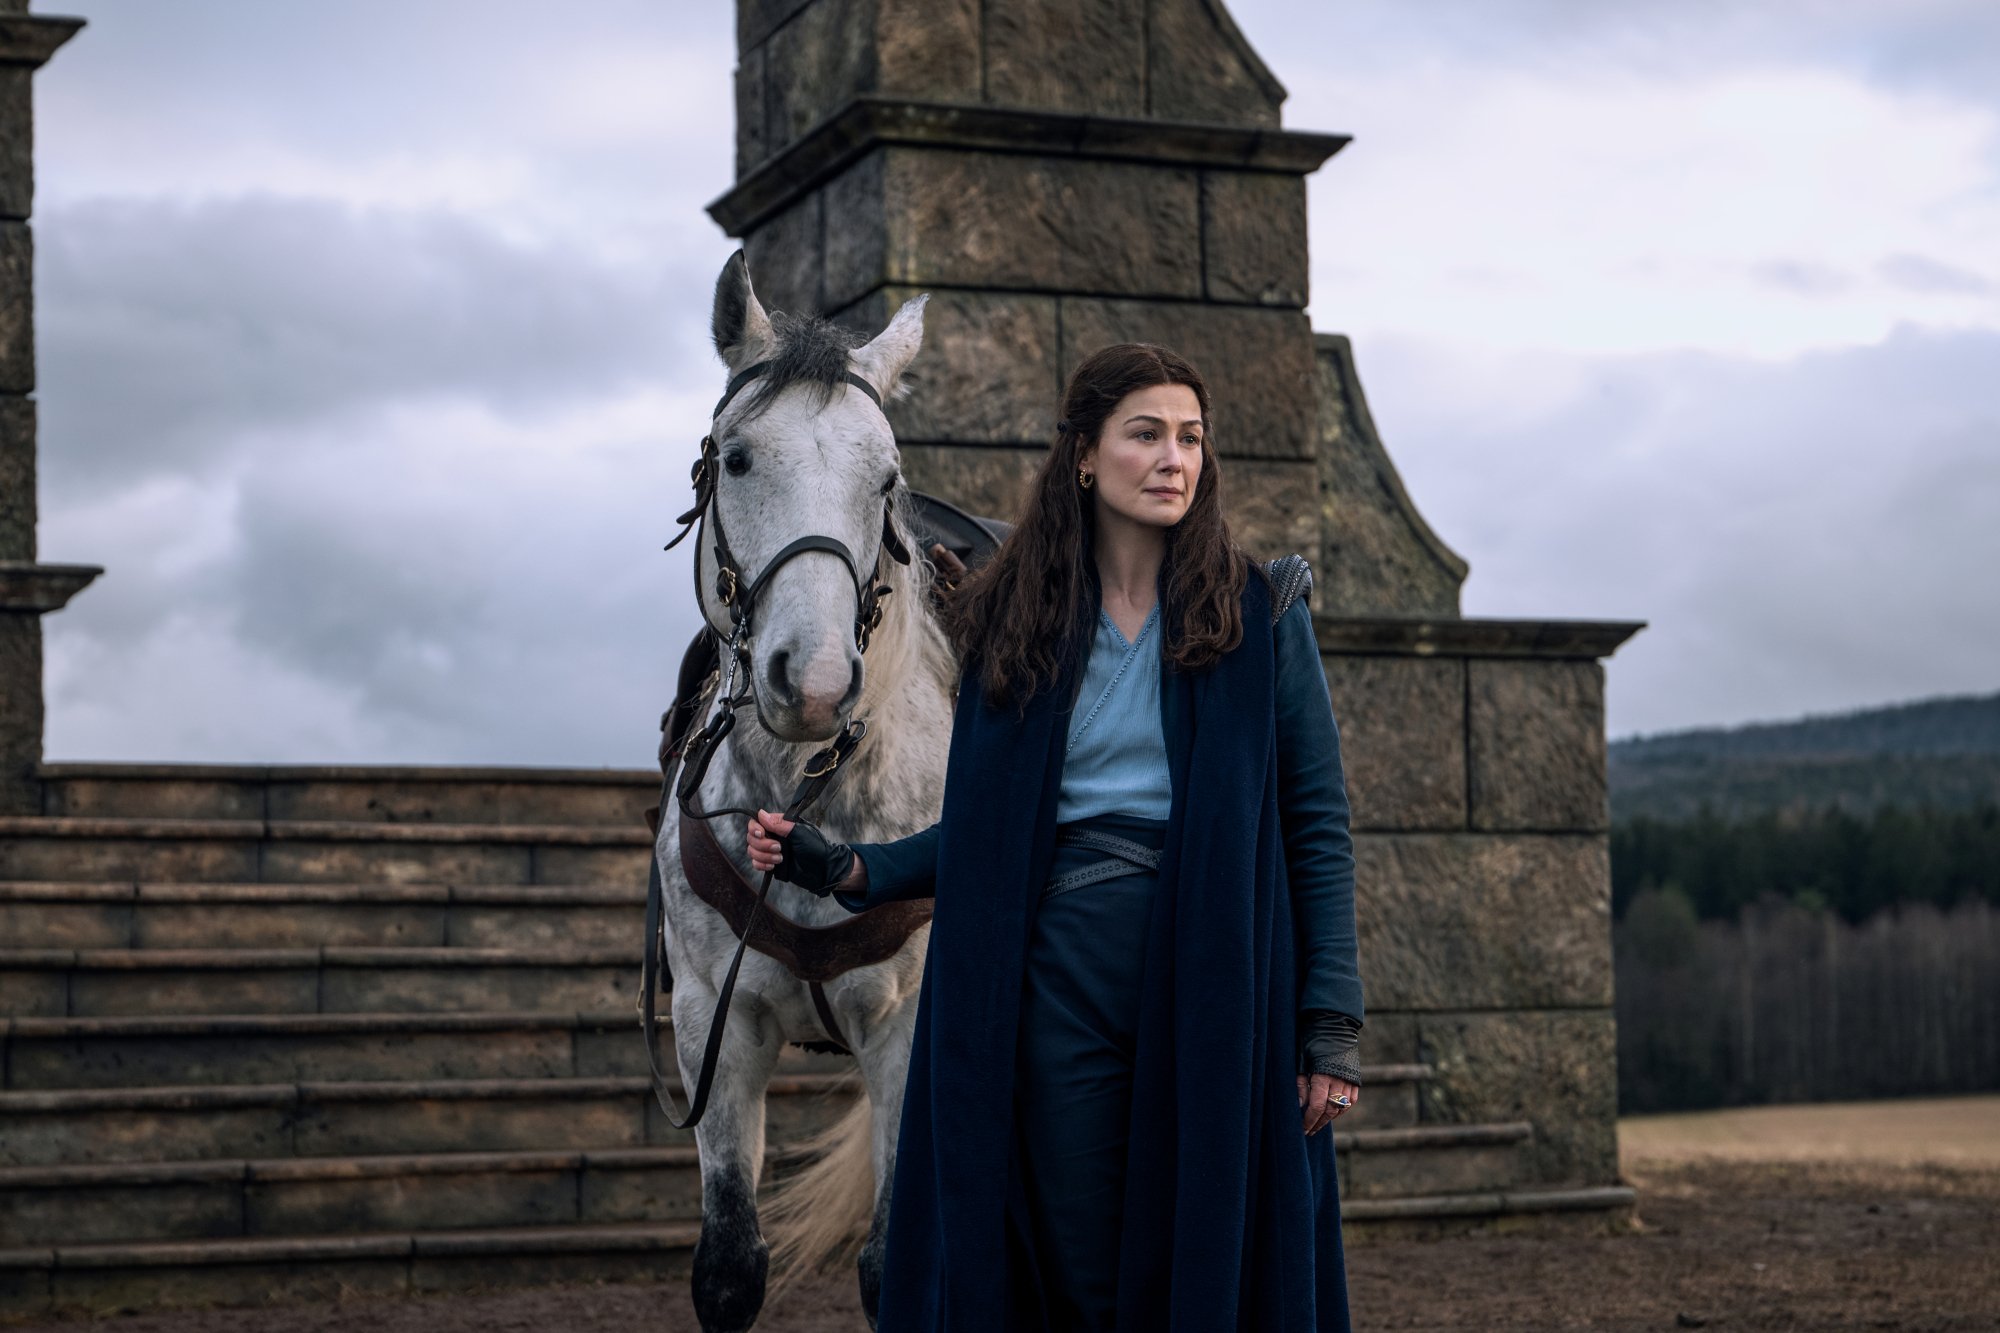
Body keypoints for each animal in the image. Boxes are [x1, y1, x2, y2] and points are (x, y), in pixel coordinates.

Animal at [660, 252, 956, 1328]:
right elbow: (728, 1263)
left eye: (887, 479)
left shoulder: (912, 1030)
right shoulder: (712, 1020)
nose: (818, 683)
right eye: (738, 459)